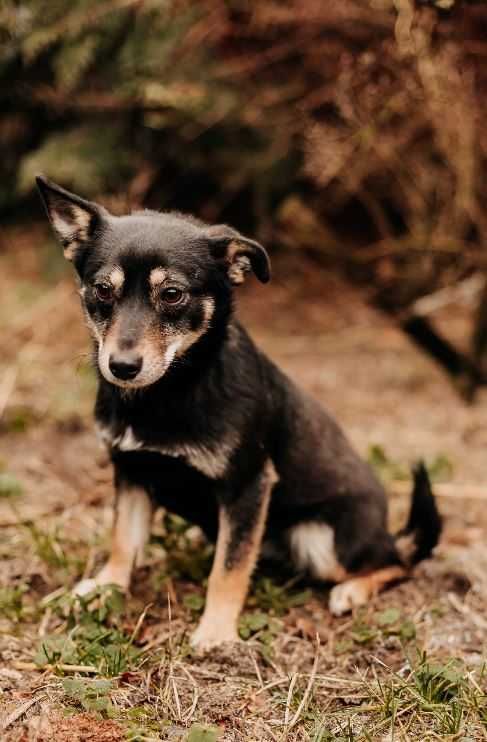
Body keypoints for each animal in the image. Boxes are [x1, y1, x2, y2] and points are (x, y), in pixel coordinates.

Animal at [36, 176, 444, 652]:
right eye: (103, 289)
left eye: (171, 294)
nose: (121, 366)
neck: (172, 391)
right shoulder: (132, 471)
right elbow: (124, 539)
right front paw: (107, 587)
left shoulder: (248, 484)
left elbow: (228, 569)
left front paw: (216, 632)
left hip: (322, 541)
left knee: (398, 561)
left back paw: (352, 591)